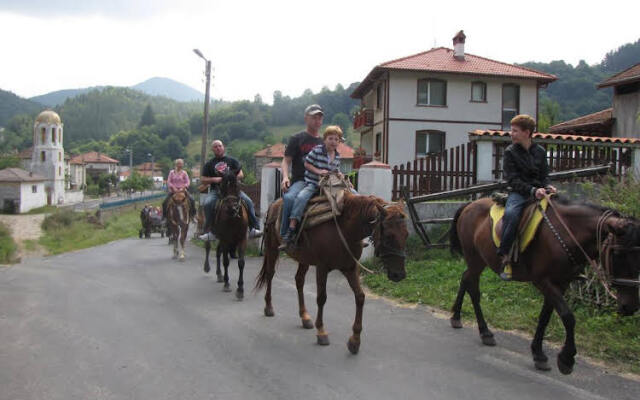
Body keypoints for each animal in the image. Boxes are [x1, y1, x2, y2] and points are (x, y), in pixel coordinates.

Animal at [204, 172, 249, 300]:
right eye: (223, 187)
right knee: (208, 247)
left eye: (237, 186)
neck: (233, 219)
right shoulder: (225, 239)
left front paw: (240, 289)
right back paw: (207, 268)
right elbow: (226, 261)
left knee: (218, 251)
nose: (232, 208)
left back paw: (219, 274)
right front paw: (227, 284)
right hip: (211, 232)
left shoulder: (242, 239)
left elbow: (241, 262)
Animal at [254, 192, 408, 354]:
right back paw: (269, 307)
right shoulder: (322, 267)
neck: (346, 229)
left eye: (406, 235)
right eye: (389, 236)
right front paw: (321, 332)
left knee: (299, 280)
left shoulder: (350, 268)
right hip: (272, 248)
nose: (399, 275)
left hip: (304, 258)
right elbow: (321, 298)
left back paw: (305, 317)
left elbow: (360, 297)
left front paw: (355, 341)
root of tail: (274, 203)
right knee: (270, 274)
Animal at [450, 195, 640, 374]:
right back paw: (484, 331)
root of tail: (469, 205)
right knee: (473, 289)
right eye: (618, 254)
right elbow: (568, 316)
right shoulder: (543, 281)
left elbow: (545, 317)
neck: (566, 232)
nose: (629, 306)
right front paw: (566, 359)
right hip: (475, 258)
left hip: (478, 260)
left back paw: (456, 317)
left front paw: (538, 354)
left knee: (465, 279)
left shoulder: (561, 283)